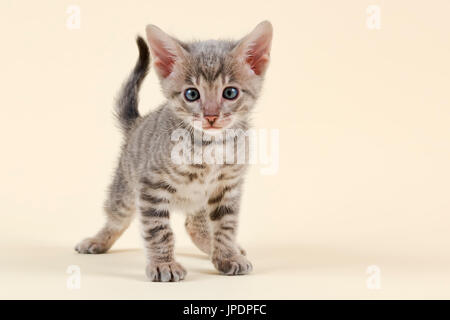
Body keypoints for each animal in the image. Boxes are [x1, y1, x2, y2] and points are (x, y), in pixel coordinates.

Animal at [75, 20, 272, 282]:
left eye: (230, 92)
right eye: (192, 94)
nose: (211, 116)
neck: (210, 145)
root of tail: (137, 123)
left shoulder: (227, 186)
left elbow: (226, 225)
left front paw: (227, 256)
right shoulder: (151, 186)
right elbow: (159, 230)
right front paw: (163, 264)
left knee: (194, 224)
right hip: (124, 189)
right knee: (116, 218)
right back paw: (97, 241)